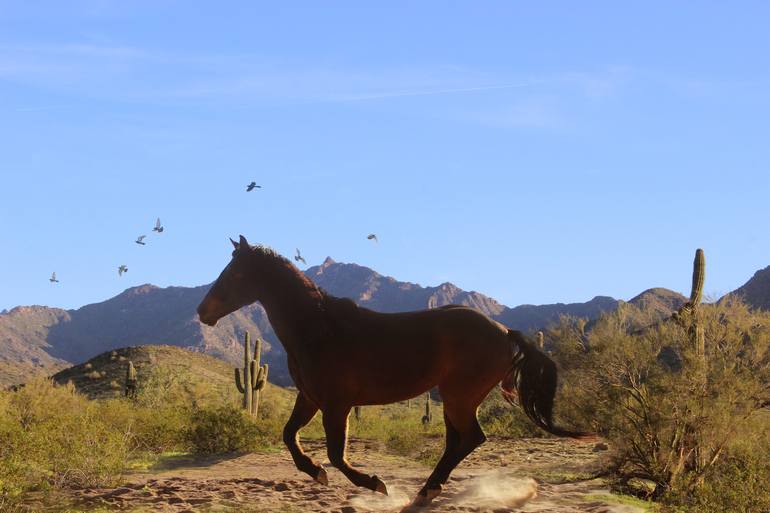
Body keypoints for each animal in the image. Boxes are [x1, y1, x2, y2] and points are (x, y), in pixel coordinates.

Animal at [196, 238, 584, 506]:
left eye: (236, 273)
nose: (203, 312)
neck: (318, 330)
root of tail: (504, 331)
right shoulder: (310, 399)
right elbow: (289, 436)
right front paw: (316, 473)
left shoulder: (336, 404)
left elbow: (336, 454)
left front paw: (375, 484)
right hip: (452, 399)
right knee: (457, 441)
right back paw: (428, 490)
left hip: (458, 398)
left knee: (471, 438)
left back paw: (426, 491)